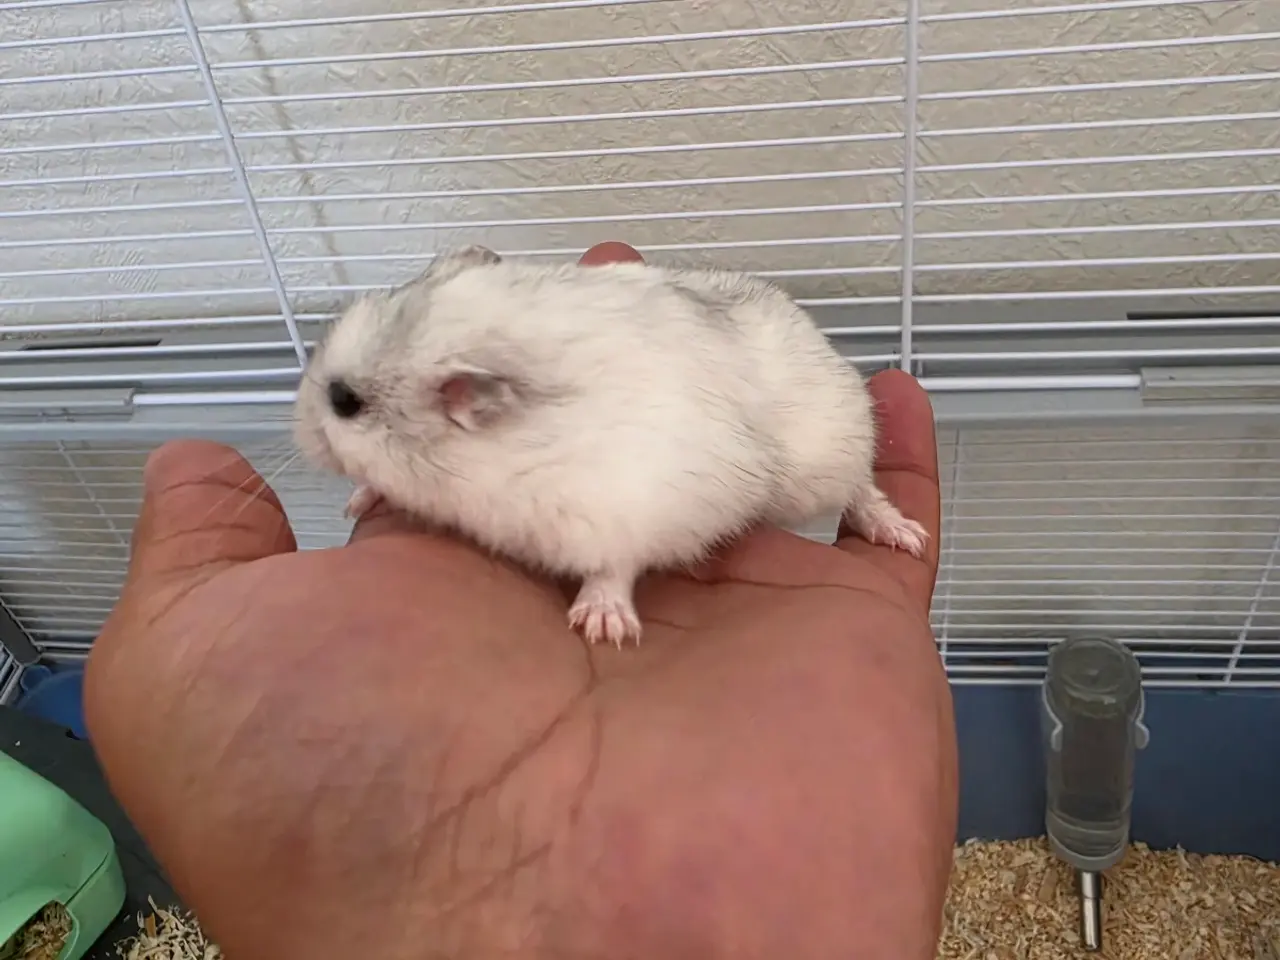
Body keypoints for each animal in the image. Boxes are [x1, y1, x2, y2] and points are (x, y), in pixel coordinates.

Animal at [293, 245, 928, 648]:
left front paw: (602, 627)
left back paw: (906, 536)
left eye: (344, 401)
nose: (297, 428)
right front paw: (357, 501)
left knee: (862, 488)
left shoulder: (626, 507)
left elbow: (613, 568)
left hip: (825, 456)